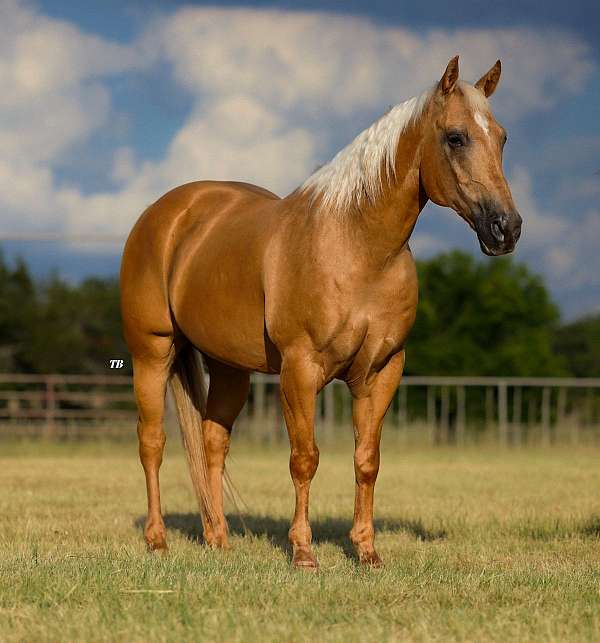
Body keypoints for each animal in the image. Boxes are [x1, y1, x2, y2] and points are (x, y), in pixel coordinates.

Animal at [120, 56, 520, 568]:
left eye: (503, 137)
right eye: (455, 137)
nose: (506, 228)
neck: (357, 247)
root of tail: (164, 214)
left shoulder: (382, 372)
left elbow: (367, 461)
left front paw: (367, 551)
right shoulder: (300, 369)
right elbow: (304, 459)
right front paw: (304, 552)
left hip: (229, 368)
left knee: (212, 442)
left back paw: (219, 539)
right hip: (151, 354)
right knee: (152, 443)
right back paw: (157, 539)